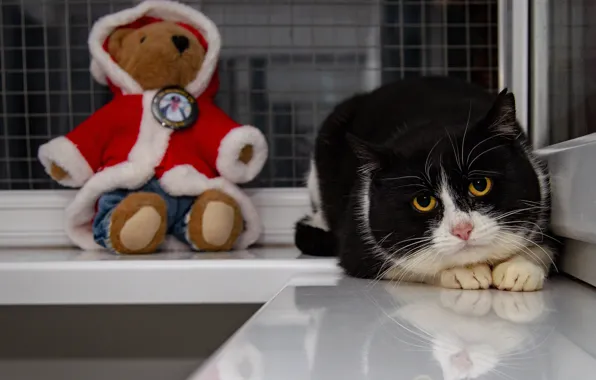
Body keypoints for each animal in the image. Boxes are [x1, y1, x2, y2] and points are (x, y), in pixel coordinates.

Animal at [296, 77, 556, 290]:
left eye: (480, 184)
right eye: (423, 201)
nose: (462, 229)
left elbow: (549, 246)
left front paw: (520, 269)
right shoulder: (356, 243)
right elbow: (404, 265)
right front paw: (465, 272)